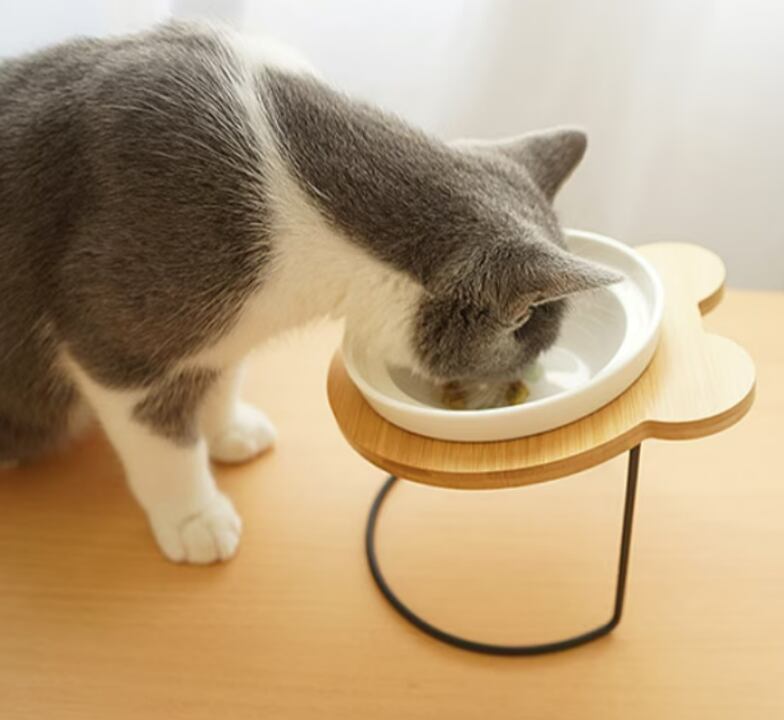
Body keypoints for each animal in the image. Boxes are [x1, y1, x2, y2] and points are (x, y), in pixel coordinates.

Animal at [0, 21, 619, 563]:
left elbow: (221, 373)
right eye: (533, 341)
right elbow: (160, 439)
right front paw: (196, 517)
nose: (530, 376)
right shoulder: (116, 336)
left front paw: (228, 429)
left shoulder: (231, 327)